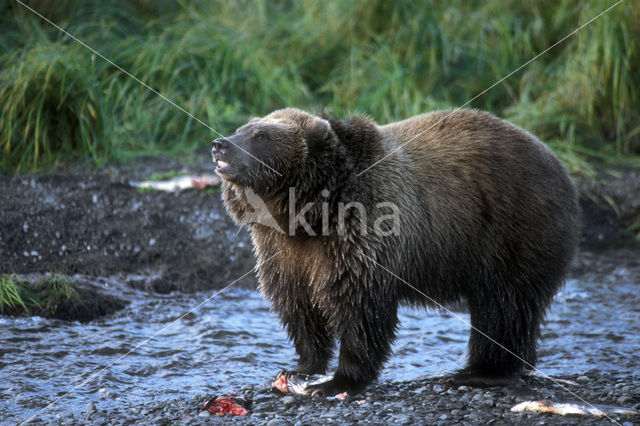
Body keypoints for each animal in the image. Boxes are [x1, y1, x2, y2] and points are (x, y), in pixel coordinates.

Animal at [211, 107, 580, 396]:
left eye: (260, 136)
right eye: (241, 129)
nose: (220, 144)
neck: (307, 214)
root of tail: (558, 163)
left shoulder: (363, 232)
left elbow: (359, 305)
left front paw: (336, 382)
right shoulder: (283, 250)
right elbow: (297, 302)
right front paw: (301, 367)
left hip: (512, 228)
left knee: (504, 304)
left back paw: (479, 373)